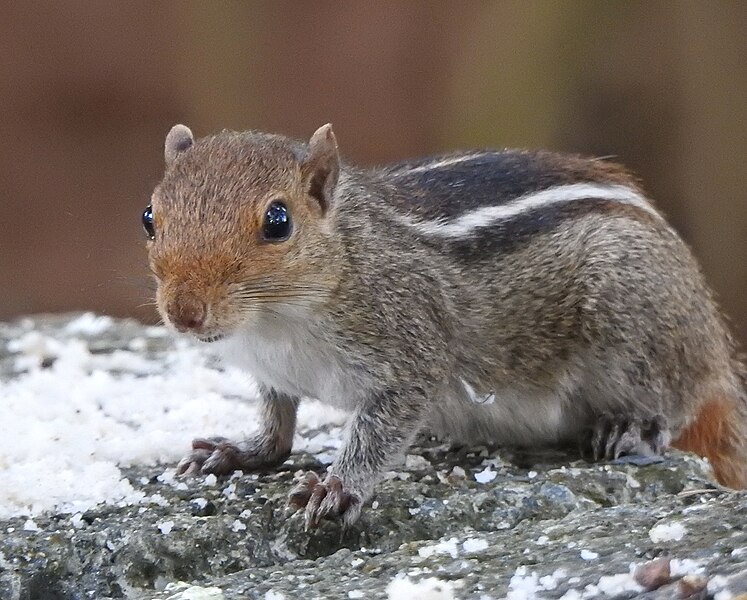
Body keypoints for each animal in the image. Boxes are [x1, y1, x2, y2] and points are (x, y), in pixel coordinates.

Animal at [146, 124, 747, 528]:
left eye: (278, 220)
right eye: (149, 217)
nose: (184, 312)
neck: (274, 323)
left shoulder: (408, 355)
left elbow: (377, 433)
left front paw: (337, 488)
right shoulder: (273, 374)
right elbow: (277, 426)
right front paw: (235, 452)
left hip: (634, 318)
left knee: (677, 400)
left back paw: (631, 428)